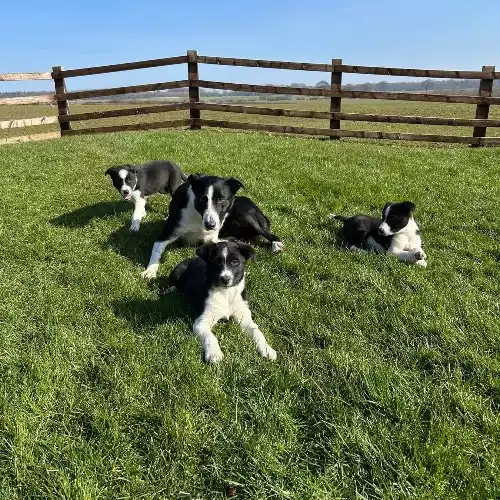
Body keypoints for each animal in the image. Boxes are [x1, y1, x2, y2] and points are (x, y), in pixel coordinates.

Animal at [141, 174, 284, 280]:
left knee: (268, 233)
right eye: (202, 199)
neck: (198, 216)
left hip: (246, 216)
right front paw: (150, 270)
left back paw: (276, 244)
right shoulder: (168, 233)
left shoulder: (210, 237)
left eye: (221, 199)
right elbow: (157, 250)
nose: (210, 225)